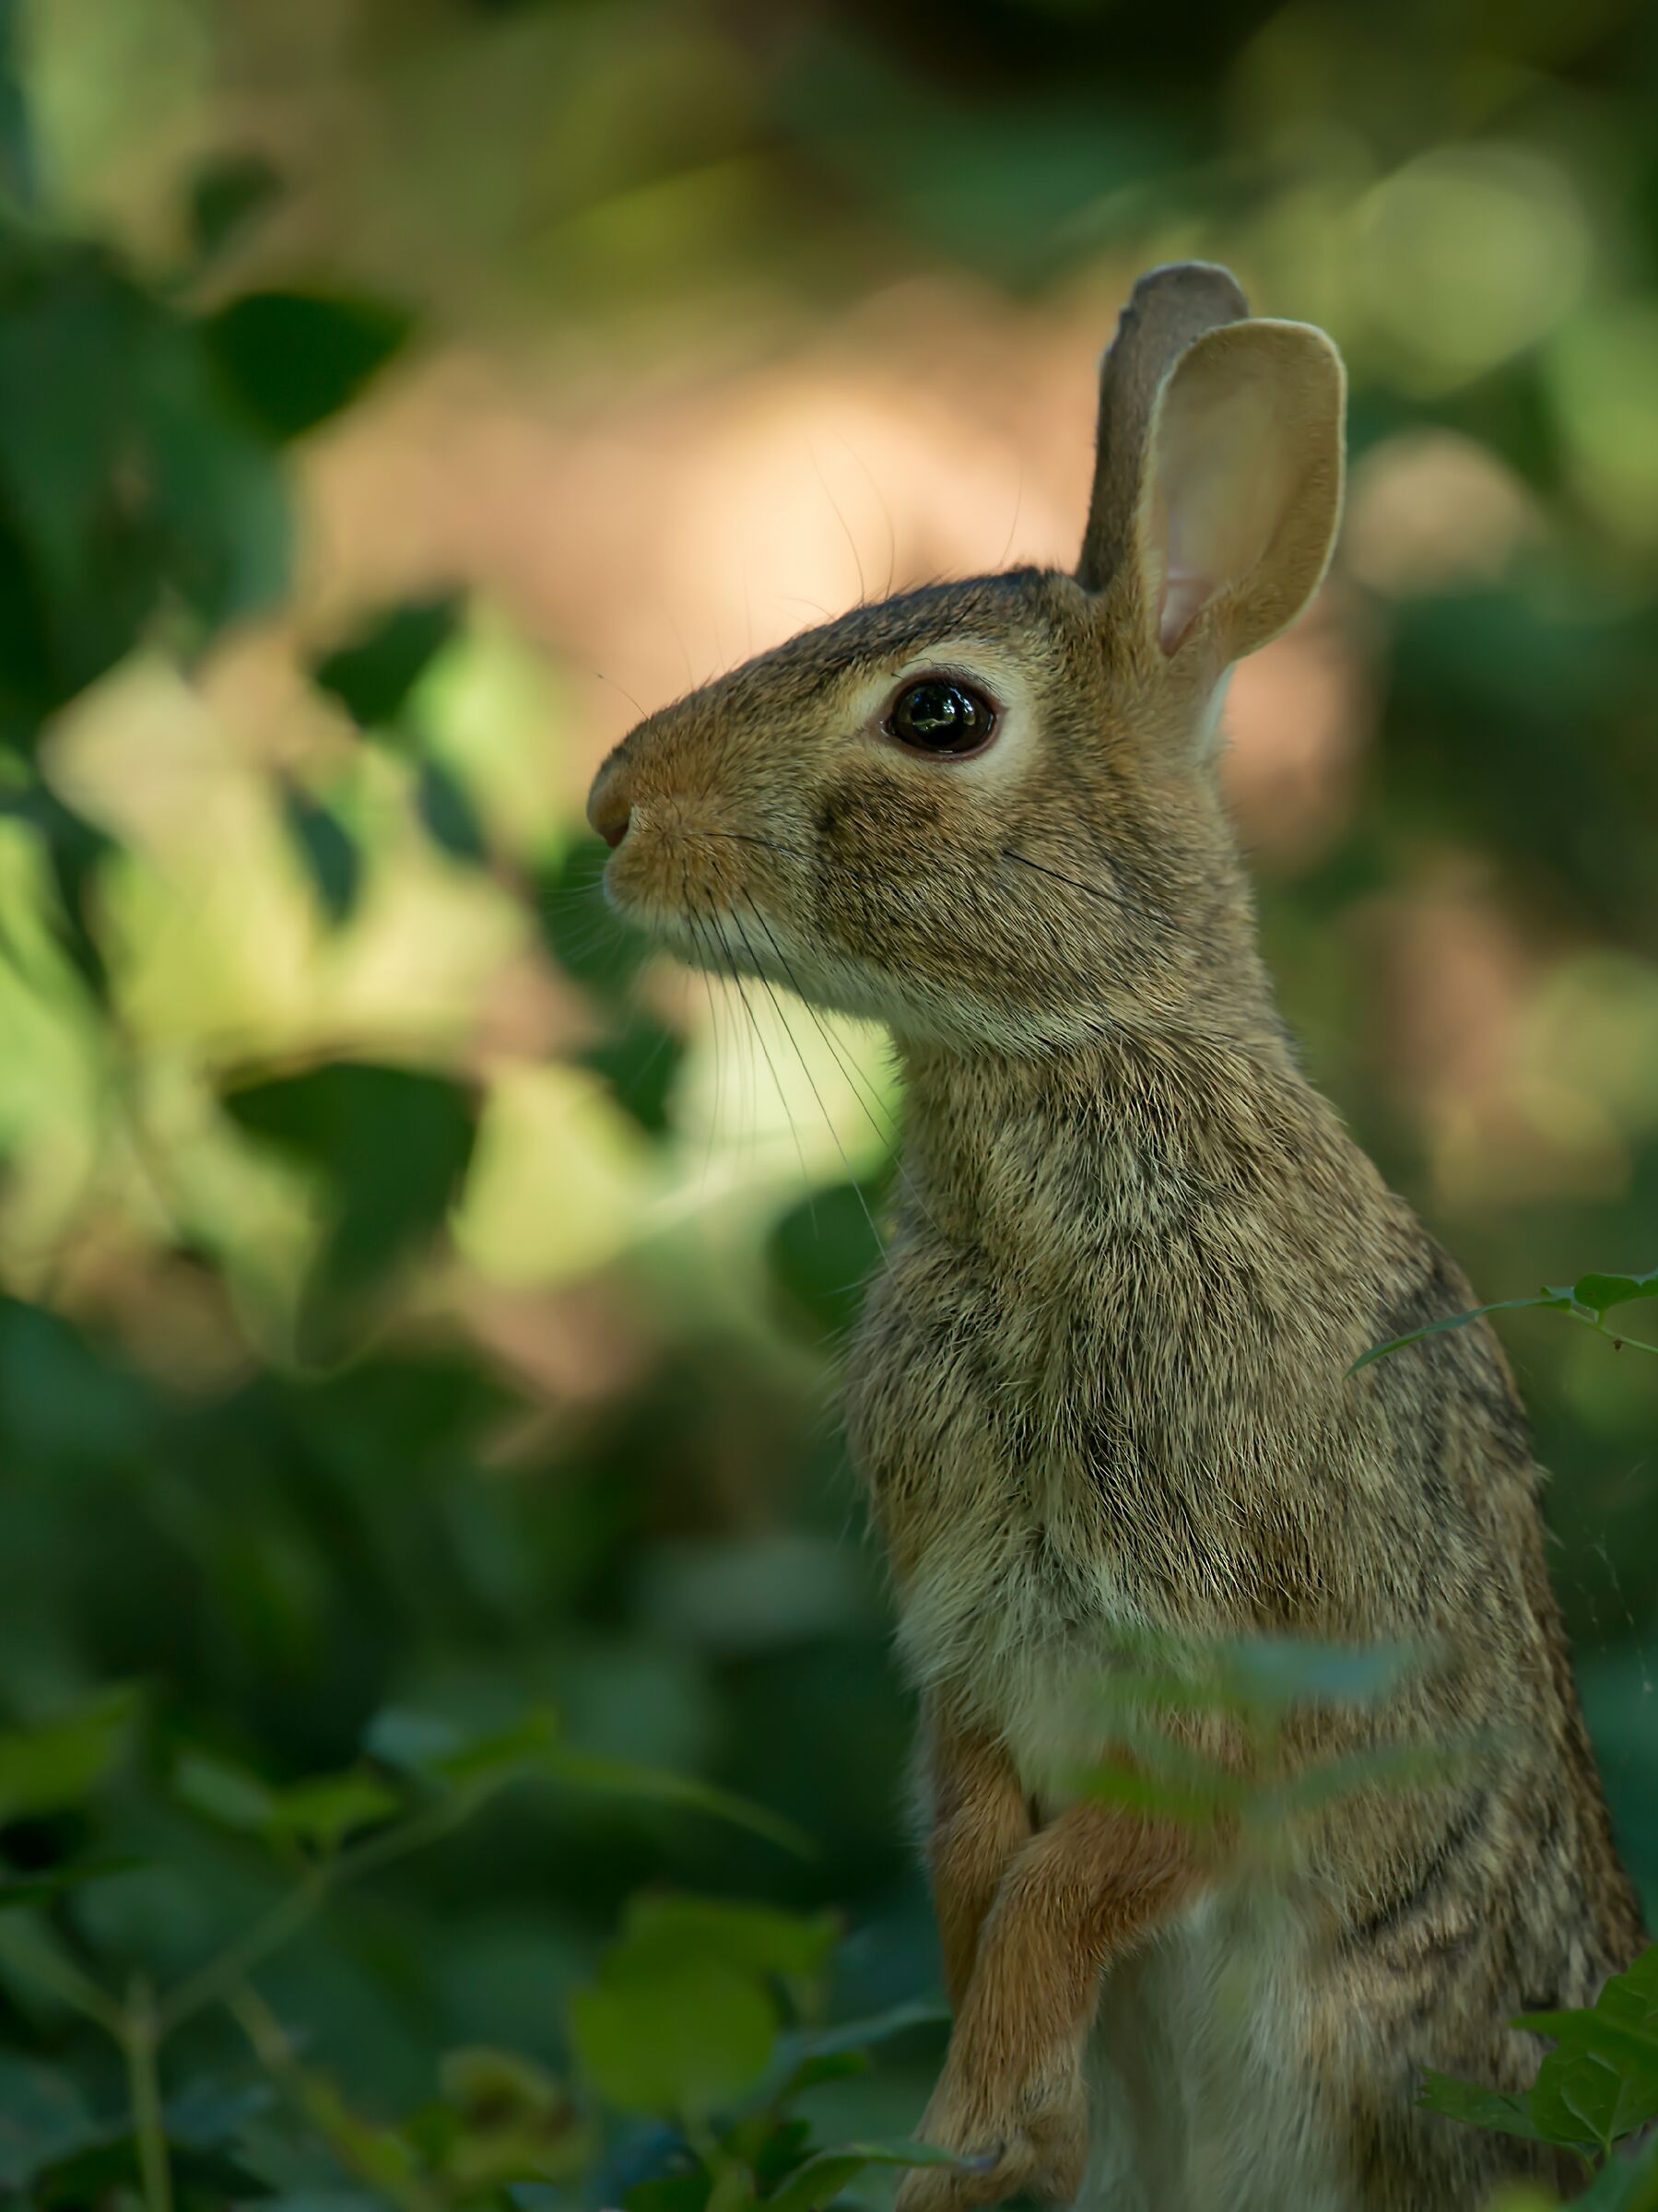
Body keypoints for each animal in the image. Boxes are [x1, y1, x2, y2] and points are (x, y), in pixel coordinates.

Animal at [585, 262, 1645, 2210]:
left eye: (938, 718)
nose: (613, 809)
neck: (1063, 1095)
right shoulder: (966, 1653)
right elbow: (975, 1857)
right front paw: (989, 2141)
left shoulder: (1229, 1664)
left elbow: (1073, 1891)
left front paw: (975, 2121)